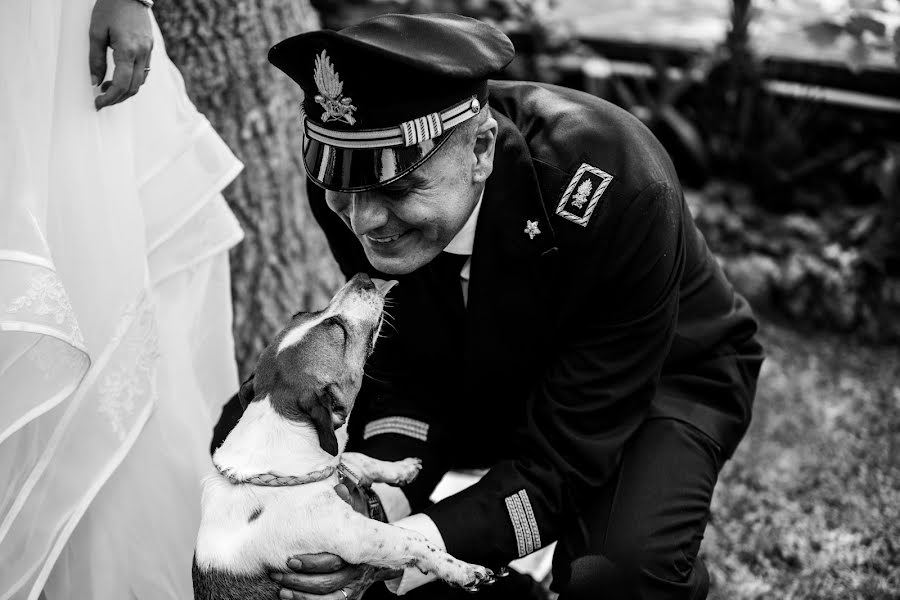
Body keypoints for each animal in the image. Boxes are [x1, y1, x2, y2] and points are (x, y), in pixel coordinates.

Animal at [193, 274, 500, 596]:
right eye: (338, 329)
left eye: (302, 314)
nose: (363, 278)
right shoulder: (354, 534)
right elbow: (412, 538)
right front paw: (463, 569)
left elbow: (358, 457)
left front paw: (401, 468)